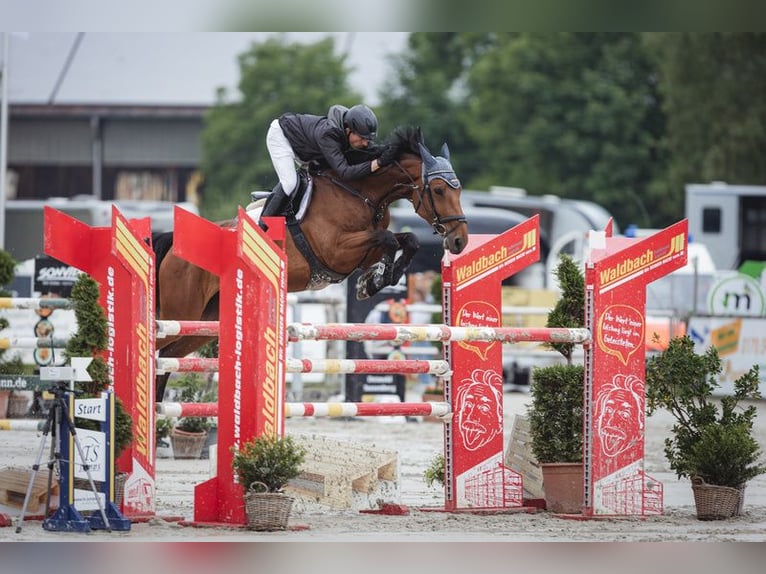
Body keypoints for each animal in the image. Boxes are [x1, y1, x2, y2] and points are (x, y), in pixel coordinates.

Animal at [152, 127, 468, 402]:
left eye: (459, 189)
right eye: (438, 190)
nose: (459, 241)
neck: (360, 193)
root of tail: (174, 245)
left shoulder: (363, 251)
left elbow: (408, 239)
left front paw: (375, 280)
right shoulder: (337, 250)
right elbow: (388, 238)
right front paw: (376, 280)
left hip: (203, 322)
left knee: (167, 359)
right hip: (182, 312)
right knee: (156, 347)